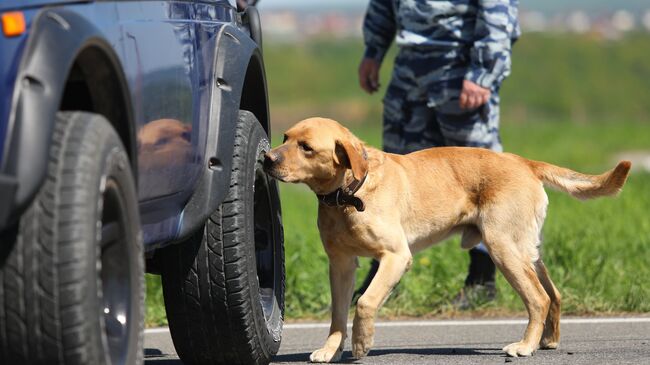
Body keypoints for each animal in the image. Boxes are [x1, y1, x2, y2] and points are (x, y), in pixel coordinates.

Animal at [262, 117, 628, 362]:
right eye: (285, 137)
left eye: (307, 148)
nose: (267, 158)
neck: (348, 195)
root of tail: (524, 162)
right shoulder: (340, 264)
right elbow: (338, 313)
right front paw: (330, 349)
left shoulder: (396, 256)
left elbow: (365, 302)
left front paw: (362, 343)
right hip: (526, 249)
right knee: (554, 293)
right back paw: (548, 339)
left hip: (503, 247)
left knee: (538, 298)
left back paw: (524, 346)